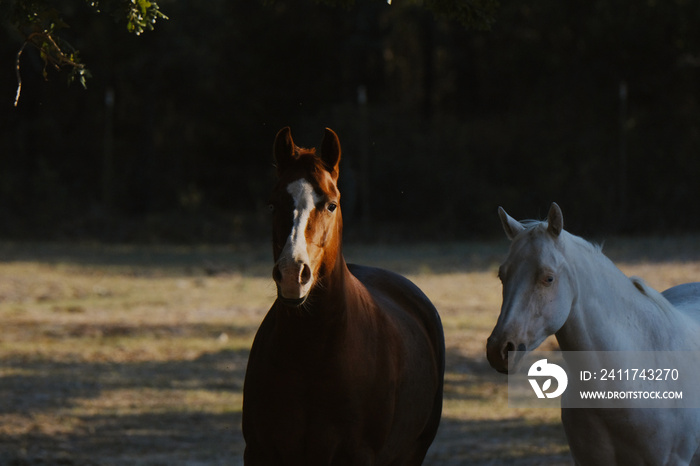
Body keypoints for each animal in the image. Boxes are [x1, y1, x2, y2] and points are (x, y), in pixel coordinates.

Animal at [242, 125, 442, 464]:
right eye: (272, 204)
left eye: (331, 204)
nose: (292, 273)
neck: (311, 355)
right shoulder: (258, 452)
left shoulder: (357, 454)